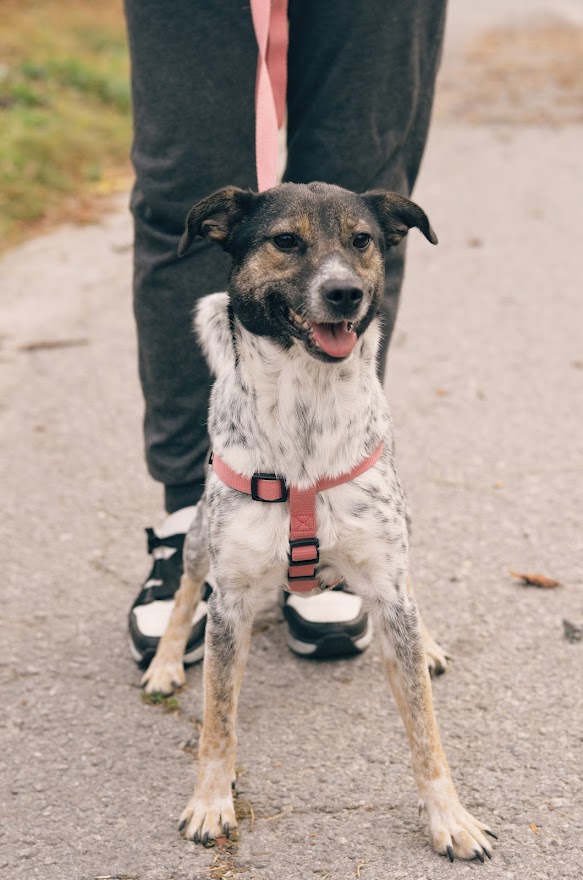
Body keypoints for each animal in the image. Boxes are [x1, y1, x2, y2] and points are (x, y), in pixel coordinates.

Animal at [141, 182, 498, 864]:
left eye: (362, 240)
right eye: (285, 241)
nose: (345, 293)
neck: (307, 408)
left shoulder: (386, 575)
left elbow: (425, 729)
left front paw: (450, 817)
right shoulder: (228, 601)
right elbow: (217, 722)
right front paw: (210, 802)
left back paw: (426, 642)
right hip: (199, 538)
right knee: (184, 589)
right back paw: (166, 661)